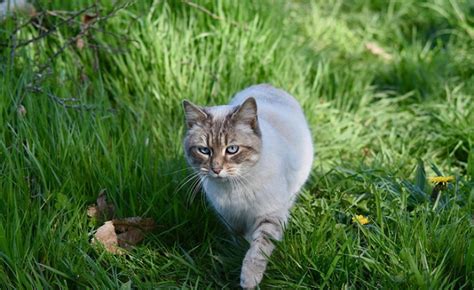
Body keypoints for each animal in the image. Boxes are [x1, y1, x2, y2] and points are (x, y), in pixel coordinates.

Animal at [183, 83, 312, 288]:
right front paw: (238, 250)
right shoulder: (230, 217)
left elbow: (258, 249)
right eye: (204, 150)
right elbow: (239, 238)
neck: (234, 188)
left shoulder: (269, 215)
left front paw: (249, 280)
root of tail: (268, 85)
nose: (216, 169)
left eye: (232, 149)